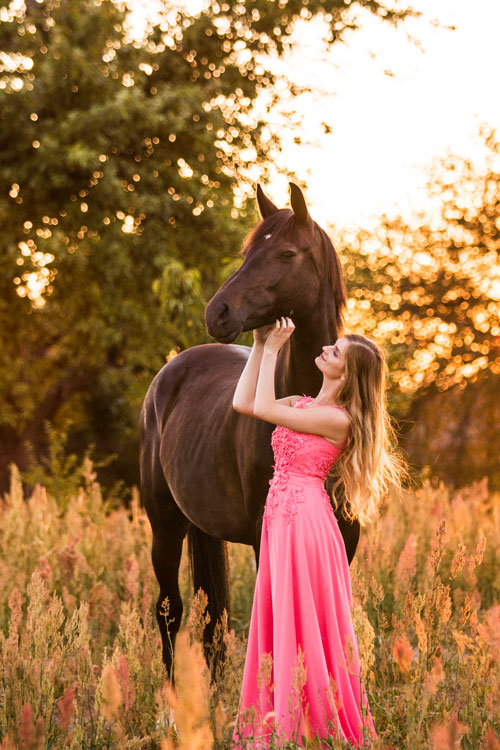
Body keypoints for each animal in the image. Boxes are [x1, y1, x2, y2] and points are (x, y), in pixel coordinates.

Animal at [139, 183, 361, 678]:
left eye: (286, 253)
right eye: (247, 253)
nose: (217, 312)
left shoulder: (346, 541)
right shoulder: (266, 538)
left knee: (211, 621)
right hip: (164, 526)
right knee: (170, 609)